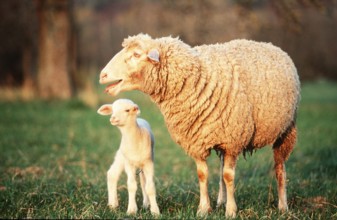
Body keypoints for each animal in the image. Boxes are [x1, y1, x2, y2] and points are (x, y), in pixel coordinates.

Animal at [97, 33, 300, 217]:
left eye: (136, 54)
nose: (102, 75)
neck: (198, 77)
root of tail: (271, 45)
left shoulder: (232, 141)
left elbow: (229, 176)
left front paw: (231, 211)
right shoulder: (197, 140)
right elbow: (203, 174)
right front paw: (204, 209)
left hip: (286, 129)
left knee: (279, 167)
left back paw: (283, 206)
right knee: (221, 168)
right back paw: (220, 201)